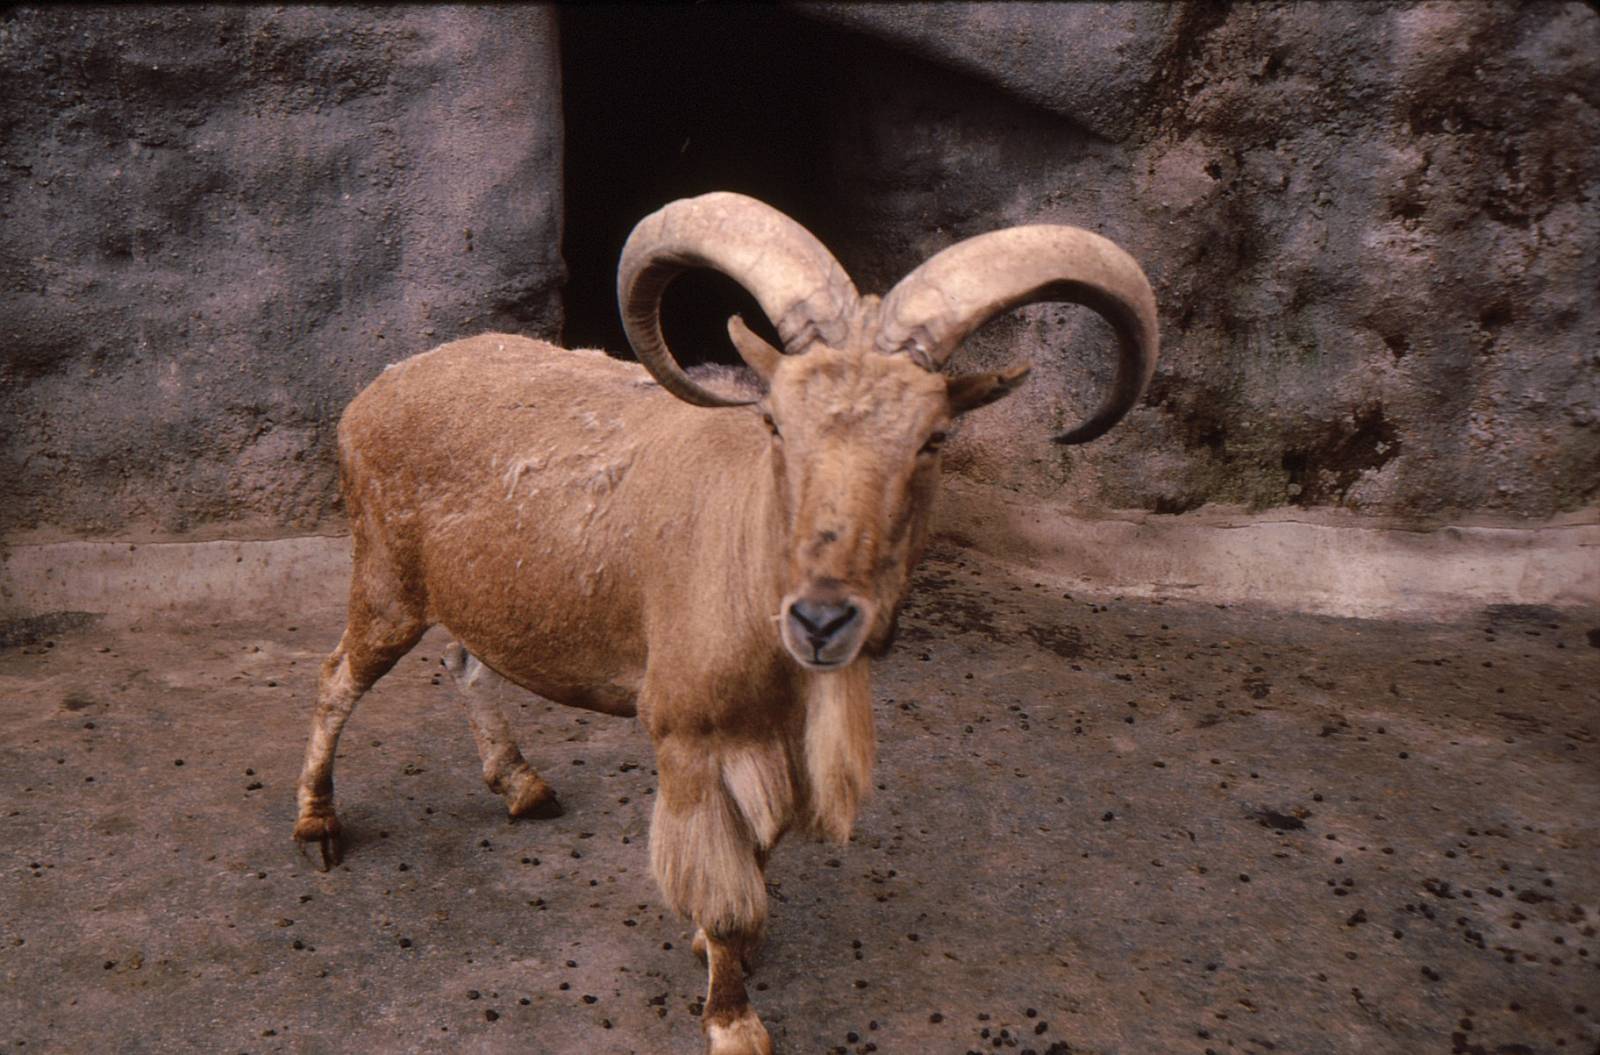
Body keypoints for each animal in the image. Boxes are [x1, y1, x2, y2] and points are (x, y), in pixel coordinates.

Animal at [293, 192, 1158, 1054]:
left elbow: (757, 853)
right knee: (337, 679)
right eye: (775, 422)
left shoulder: (773, 737)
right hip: (387, 583)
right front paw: (733, 1019)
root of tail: (371, 393)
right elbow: (722, 885)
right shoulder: (687, 734)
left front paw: (722, 952)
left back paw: (521, 784)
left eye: (934, 437)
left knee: (465, 663)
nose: (821, 619)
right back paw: (318, 825)